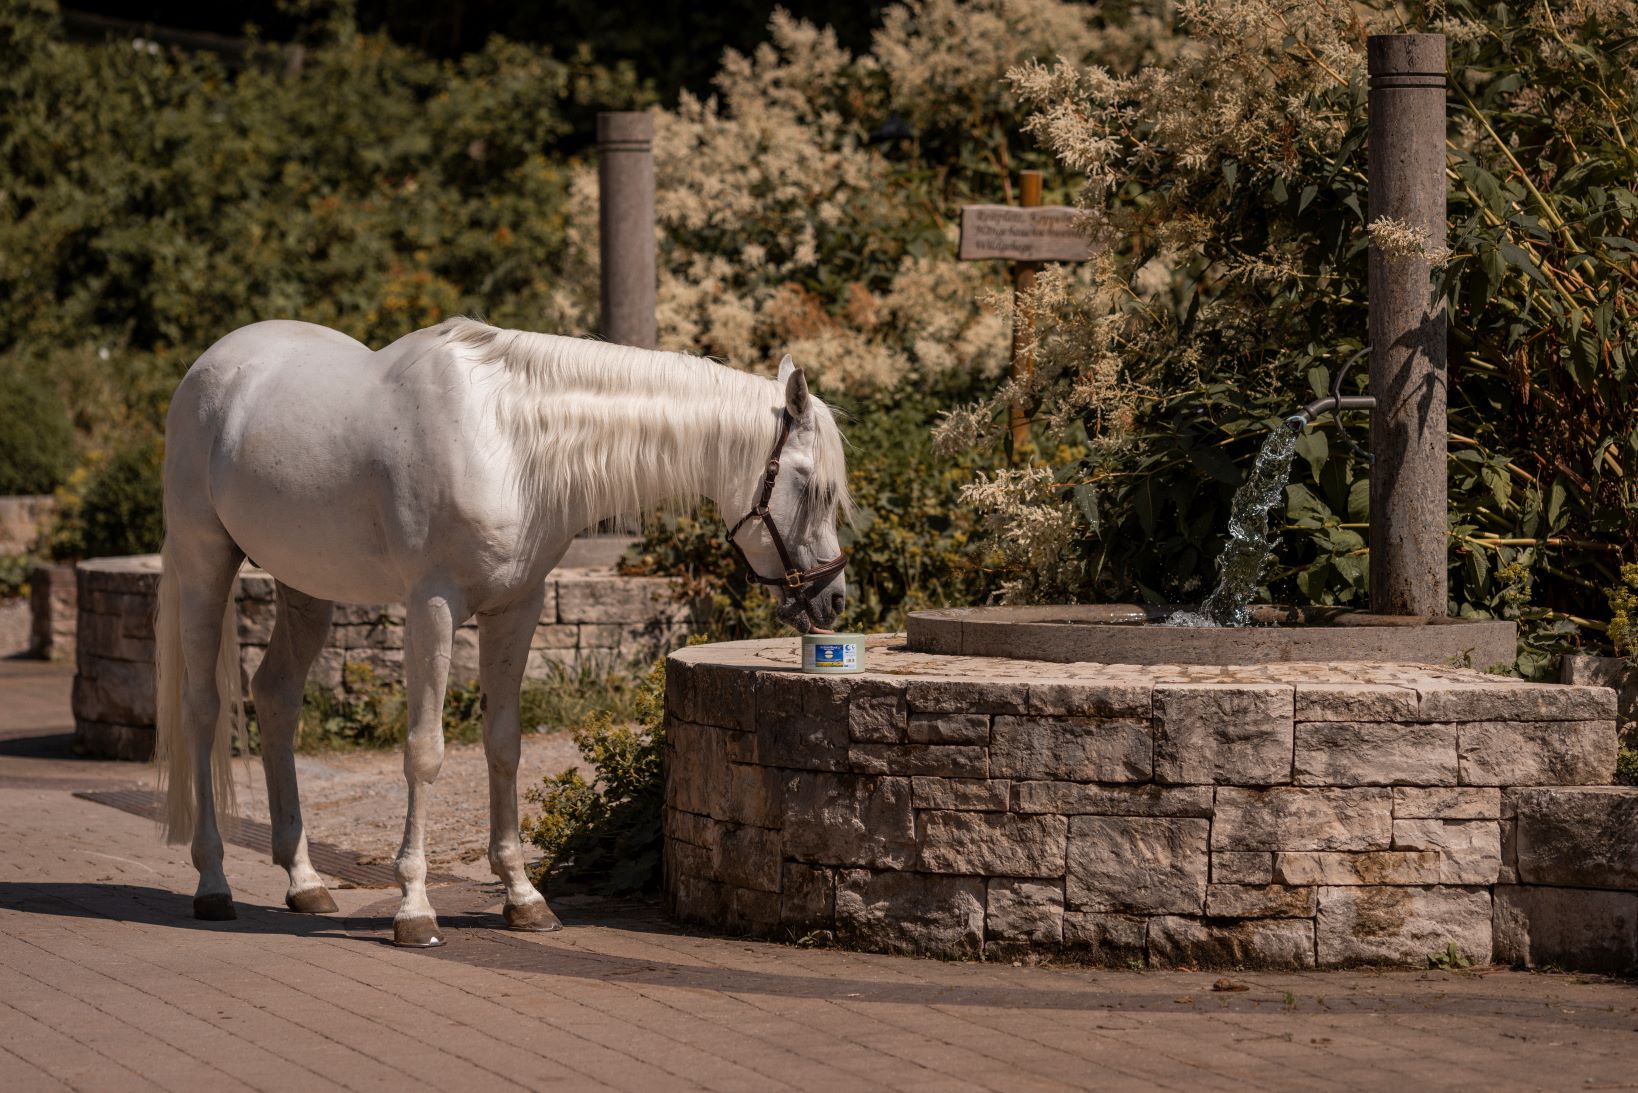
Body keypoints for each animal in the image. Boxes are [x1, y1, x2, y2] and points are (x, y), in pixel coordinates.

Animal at [153, 316, 851, 950]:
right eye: (810, 486)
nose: (833, 598)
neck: (507, 443)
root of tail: (210, 366)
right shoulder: (432, 607)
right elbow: (426, 751)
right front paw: (414, 908)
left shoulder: (517, 608)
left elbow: (503, 746)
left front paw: (523, 897)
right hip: (204, 561)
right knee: (203, 707)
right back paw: (213, 883)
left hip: (306, 585)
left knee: (274, 697)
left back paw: (304, 883)